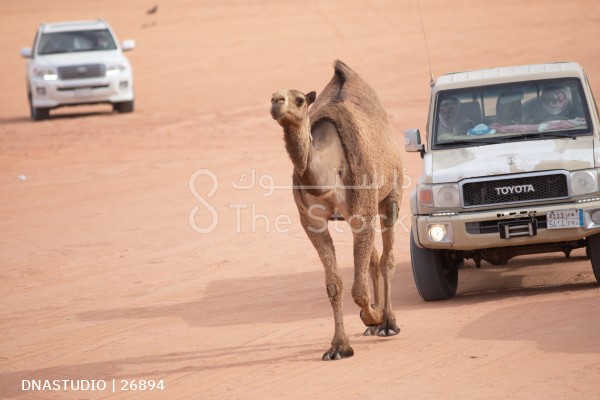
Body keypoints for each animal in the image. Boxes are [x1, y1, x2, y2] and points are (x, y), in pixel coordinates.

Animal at [270, 60, 404, 360]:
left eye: (299, 99)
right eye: (272, 96)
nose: (277, 102)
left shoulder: (363, 209)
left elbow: (358, 289)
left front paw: (373, 315)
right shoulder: (312, 221)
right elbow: (335, 285)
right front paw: (339, 347)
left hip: (392, 192)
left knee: (387, 257)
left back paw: (388, 323)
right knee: (373, 259)